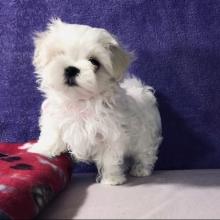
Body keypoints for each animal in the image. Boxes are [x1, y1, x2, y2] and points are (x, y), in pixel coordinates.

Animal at [22, 18, 162, 185]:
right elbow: (51, 135)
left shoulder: (111, 134)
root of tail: (141, 91)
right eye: (60, 54)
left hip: (145, 138)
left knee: (146, 154)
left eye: (94, 62)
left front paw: (112, 179)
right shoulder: (54, 120)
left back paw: (141, 170)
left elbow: (110, 158)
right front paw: (41, 150)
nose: (71, 69)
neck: (79, 101)